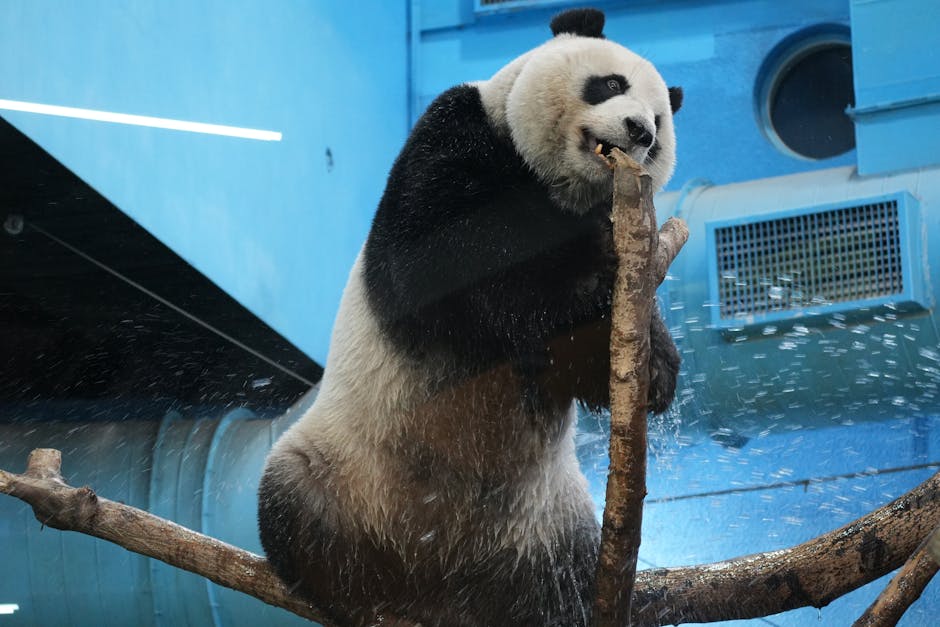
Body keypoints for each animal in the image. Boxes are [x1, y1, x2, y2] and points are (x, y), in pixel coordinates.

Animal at [258, 8, 682, 627]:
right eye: (610, 84)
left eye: (660, 121)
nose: (640, 132)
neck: (552, 184)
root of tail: (438, 578)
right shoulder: (454, 130)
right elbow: (431, 263)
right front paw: (584, 264)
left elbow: (585, 360)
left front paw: (654, 368)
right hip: (338, 466)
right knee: (294, 511)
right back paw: (355, 593)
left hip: (549, 526)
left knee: (564, 574)